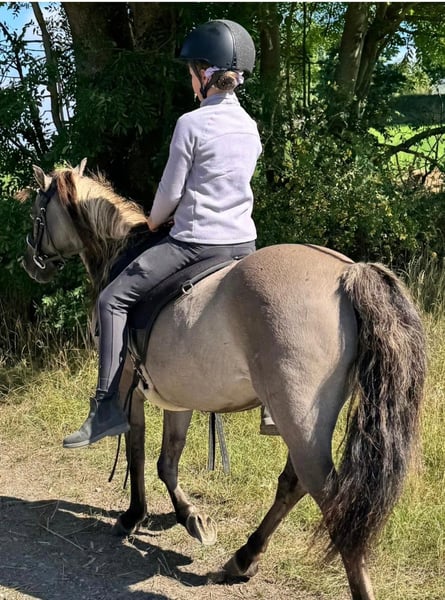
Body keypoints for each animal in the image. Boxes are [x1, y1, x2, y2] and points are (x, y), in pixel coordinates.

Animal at [20, 160, 426, 600]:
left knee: (333, 502)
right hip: (303, 423)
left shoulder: (131, 389)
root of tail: (347, 273)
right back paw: (243, 558)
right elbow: (167, 460)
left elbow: (137, 452)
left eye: (37, 212)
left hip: (299, 421)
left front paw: (134, 516)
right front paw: (190, 517)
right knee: (293, 483)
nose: (30, 262)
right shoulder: (177, 396)